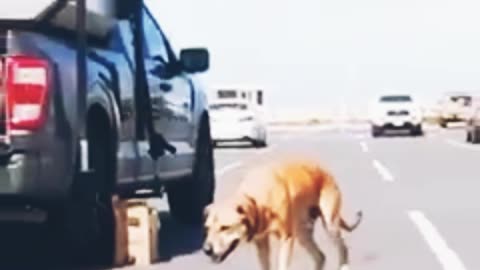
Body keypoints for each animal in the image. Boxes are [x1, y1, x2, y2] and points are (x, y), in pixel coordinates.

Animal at [201, 157, 362, 270]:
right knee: (320, 256)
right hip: (303, 233)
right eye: (207, 228)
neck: (256, 199)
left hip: (330, 224)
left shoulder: (286, 238)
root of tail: (326, 171)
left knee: (343, 249)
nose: (206, 250)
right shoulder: (261, 243)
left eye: (225, 227)